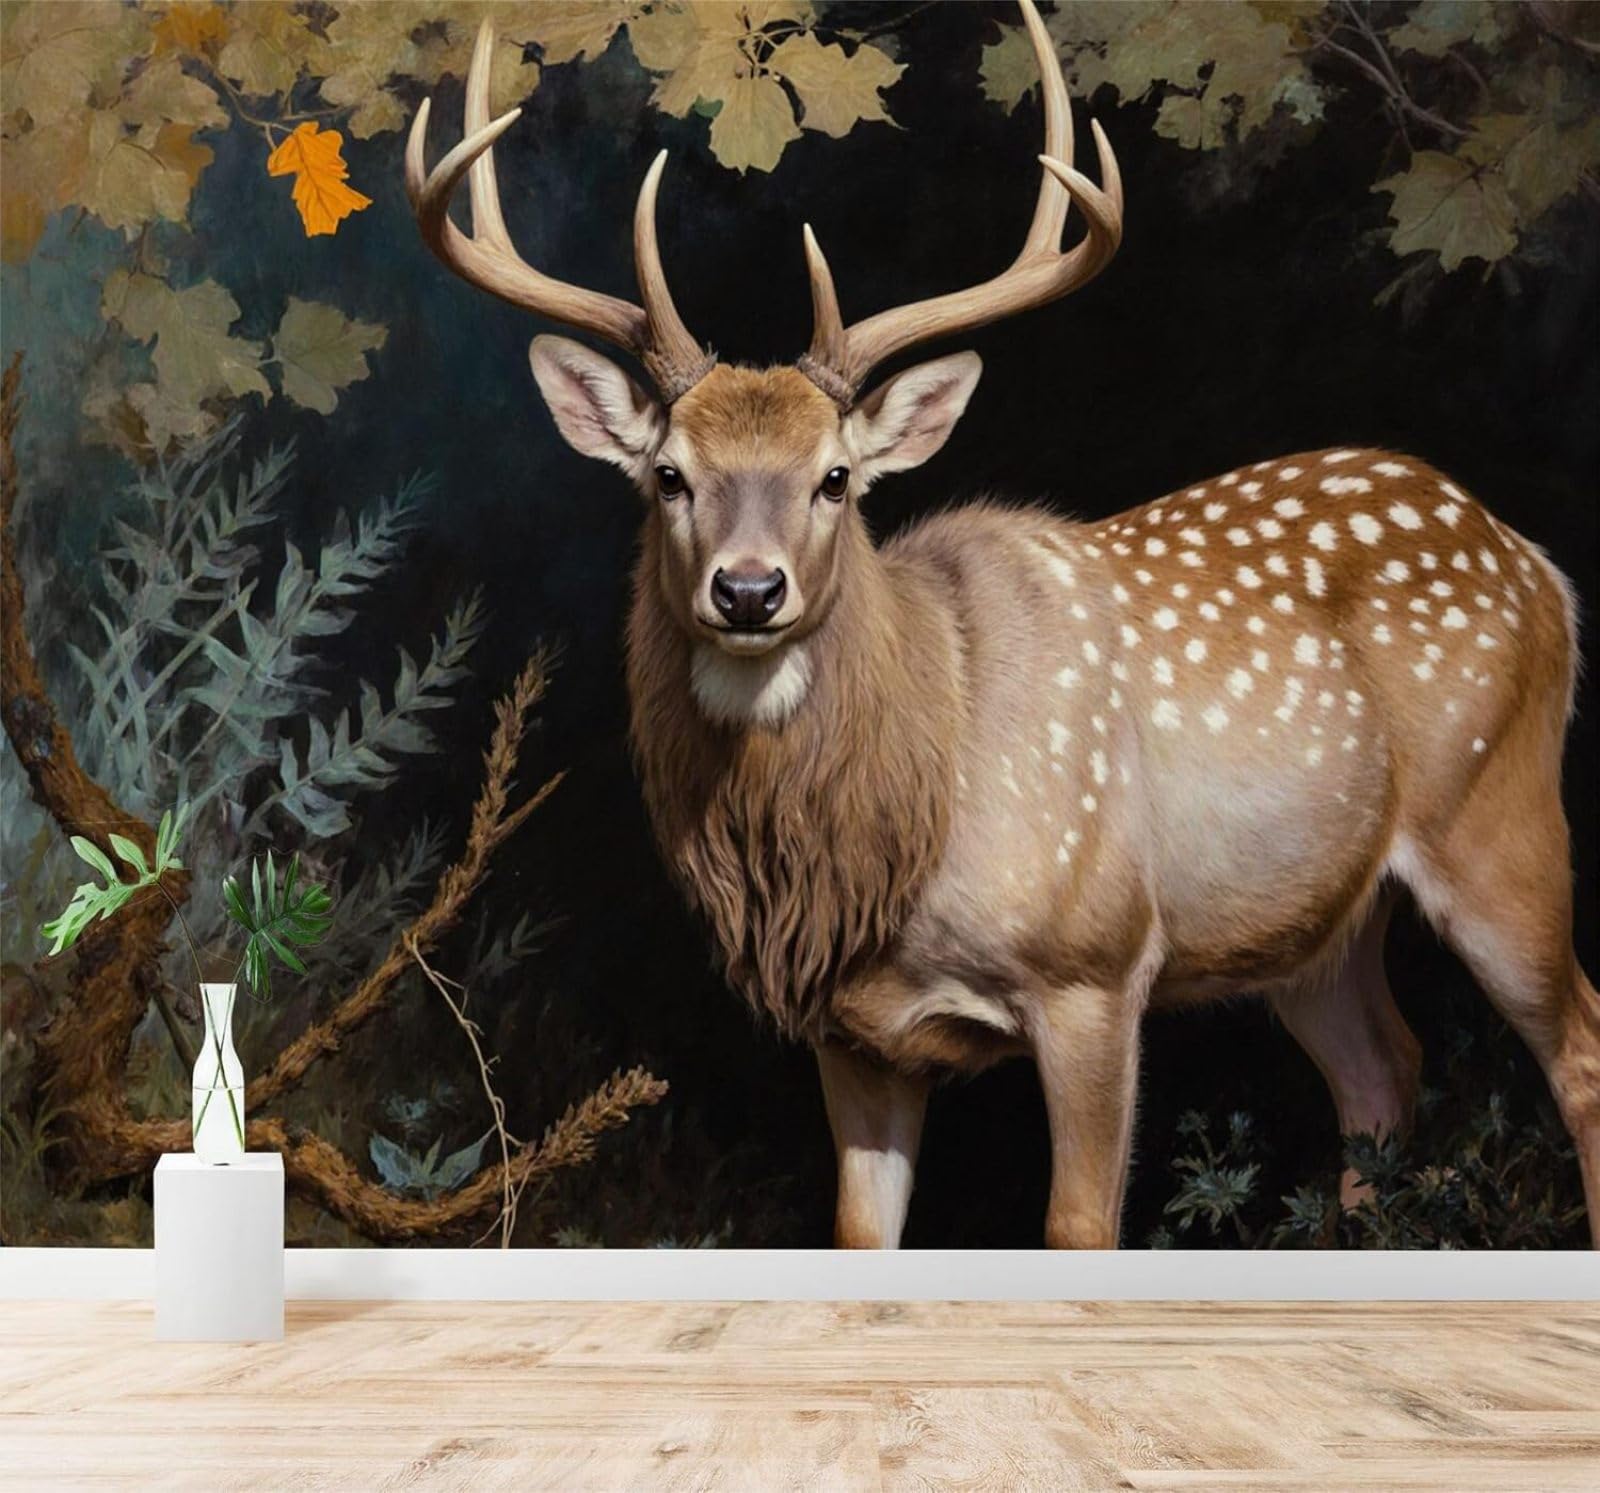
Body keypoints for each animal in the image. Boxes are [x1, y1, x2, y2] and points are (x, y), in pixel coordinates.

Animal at [406, 2, 1598, 1249]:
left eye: (836, 478)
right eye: (669, 476)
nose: (748, 591)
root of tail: (1535, 565)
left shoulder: (1098, 961)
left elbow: (1079, 1229)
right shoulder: (851, 1028)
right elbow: (859, 1238)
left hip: (1498, 811)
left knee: (1576, 1049)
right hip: (1310, 918)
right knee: (1379, 1070)